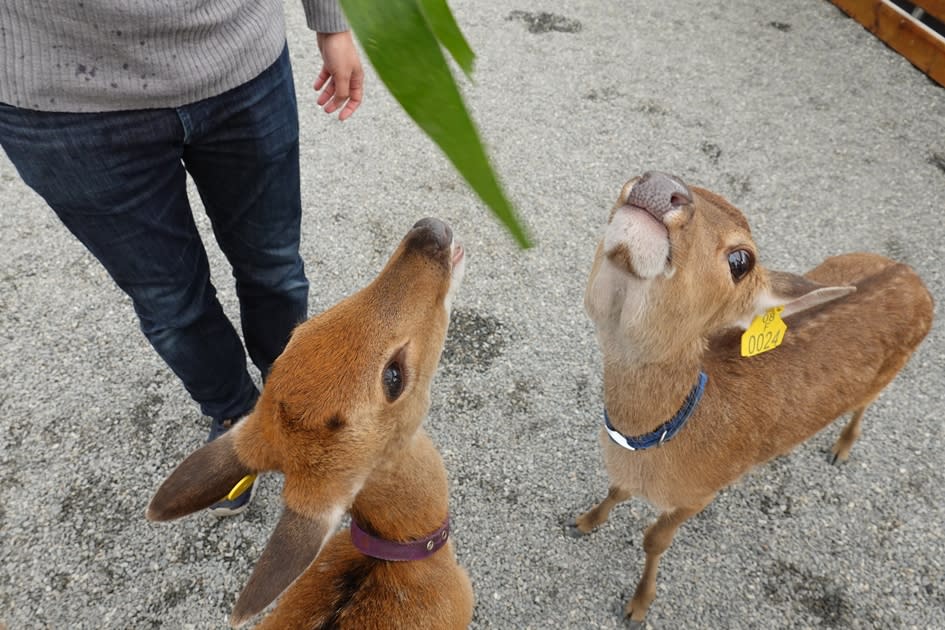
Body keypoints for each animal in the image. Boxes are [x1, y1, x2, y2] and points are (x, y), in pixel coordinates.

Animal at [568, 172, 928, 628]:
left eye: (741, 261)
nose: (661, 184)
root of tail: (915, 277)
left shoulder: (702, 491)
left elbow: (654, 540)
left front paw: (638, 606)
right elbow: (615, 490)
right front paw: (582, 521)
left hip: (890, 372)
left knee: (864, 405)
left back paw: (841, 449)